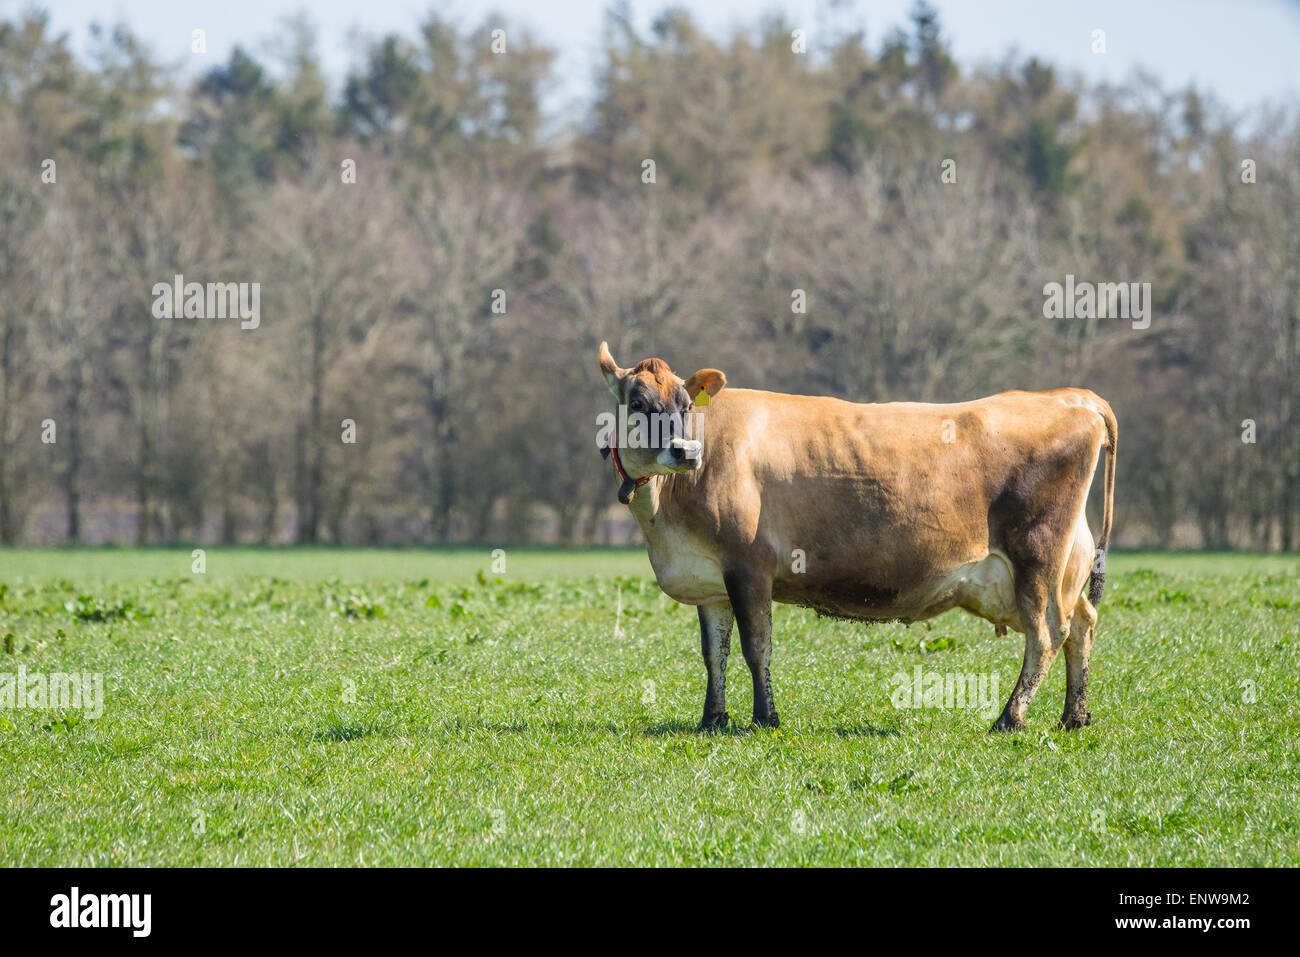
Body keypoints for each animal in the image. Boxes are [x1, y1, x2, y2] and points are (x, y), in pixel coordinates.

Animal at [596, 341, 1117, 733]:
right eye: (638, 404)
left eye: (686, 407)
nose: (686, 451)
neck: (664, 517)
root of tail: (1072, 397)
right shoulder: (709, 579)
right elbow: (713, 653)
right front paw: (712, 720)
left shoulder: (749, 566)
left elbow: (755, 647)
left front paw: (765, 718)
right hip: (1068, 562)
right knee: (1083, 622)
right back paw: (1074, 716)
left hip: (1037, 556)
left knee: (1047, 634)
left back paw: (1009, 718)